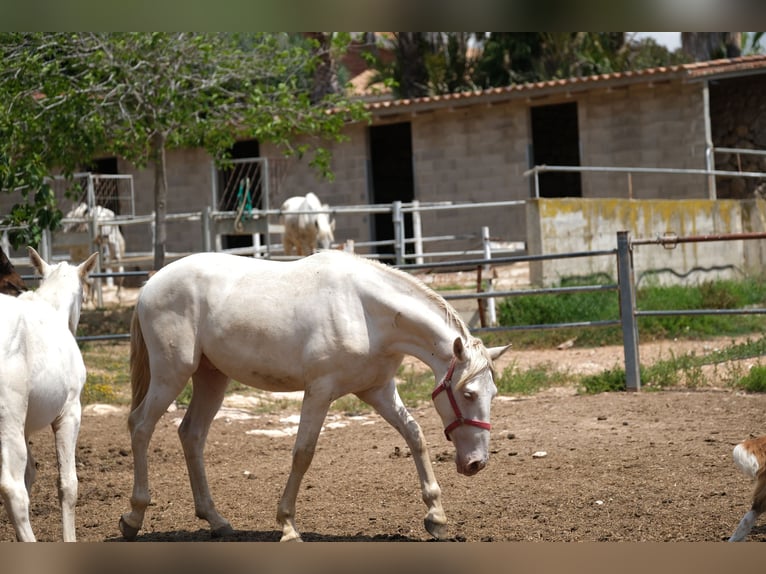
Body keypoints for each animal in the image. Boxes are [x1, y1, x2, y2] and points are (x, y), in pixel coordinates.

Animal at [118, 250, 510, 544]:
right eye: (468, 393)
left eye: (493, 393)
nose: (476, 463)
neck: (367, 312)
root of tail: (151, 284)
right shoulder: (320, 392)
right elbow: (303, 453)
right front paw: (288, 526)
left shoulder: (378, 390)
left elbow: (415, 435)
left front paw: (436, 516)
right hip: (172, 374)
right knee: (140, 426)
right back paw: (134, 517)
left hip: (211, 377)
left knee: (192, 434)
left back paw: (216, 520)